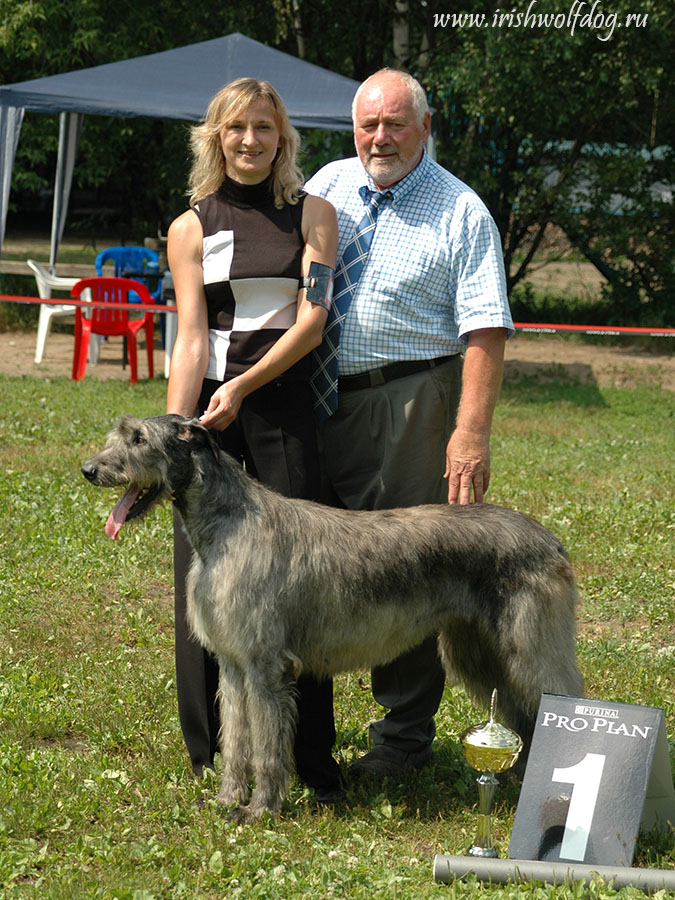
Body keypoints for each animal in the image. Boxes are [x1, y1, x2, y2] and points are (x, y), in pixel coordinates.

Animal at [82, 414, 584, 824]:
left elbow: (266, 747)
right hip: (479, 652)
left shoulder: (266, 670)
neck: (230, 525)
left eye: (139, 438)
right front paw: (228, 799)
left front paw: (260, 810)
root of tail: (551, 539)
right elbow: (237, 740)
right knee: (521, 716)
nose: (89, 469)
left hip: (529, 649)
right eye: (118, 434)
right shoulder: (232, 665)